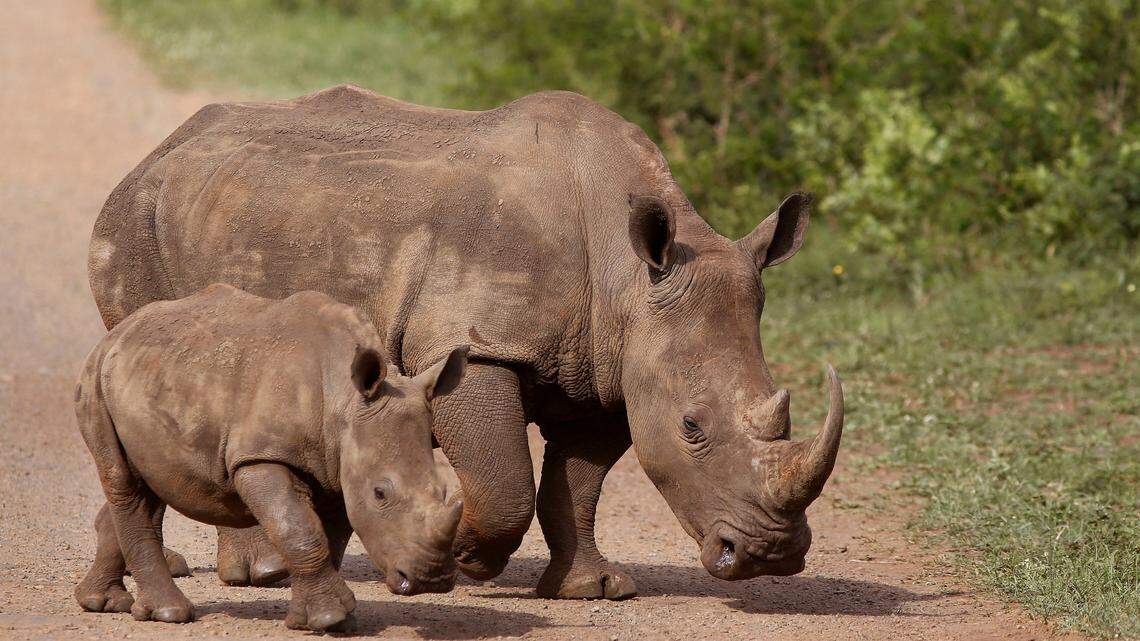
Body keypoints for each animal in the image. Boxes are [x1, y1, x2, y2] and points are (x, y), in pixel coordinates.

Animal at [74, 284, 467, 630]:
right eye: (380, 493)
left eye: (442, 491)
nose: (432, 580)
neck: (343, 399)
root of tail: (118, 333)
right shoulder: (261, 456)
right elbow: (298, 529)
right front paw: (329, 618)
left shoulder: (336, 463)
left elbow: (325, 537)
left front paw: (322, 618)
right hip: (95, 381)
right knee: (124, 482)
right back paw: (169, 614)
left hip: (151, 379)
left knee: (152, 481)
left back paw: (101, 603)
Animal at [89, 85, 844, 600]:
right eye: (692, 426)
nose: (772, 556)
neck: (627, 278)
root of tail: (159, 151)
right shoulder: (474, 344)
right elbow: (506, 479)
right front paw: (470, 562)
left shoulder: (609, 369)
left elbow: (577, 484)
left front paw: (592, 588)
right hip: (136, 223)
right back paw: (263, 572)